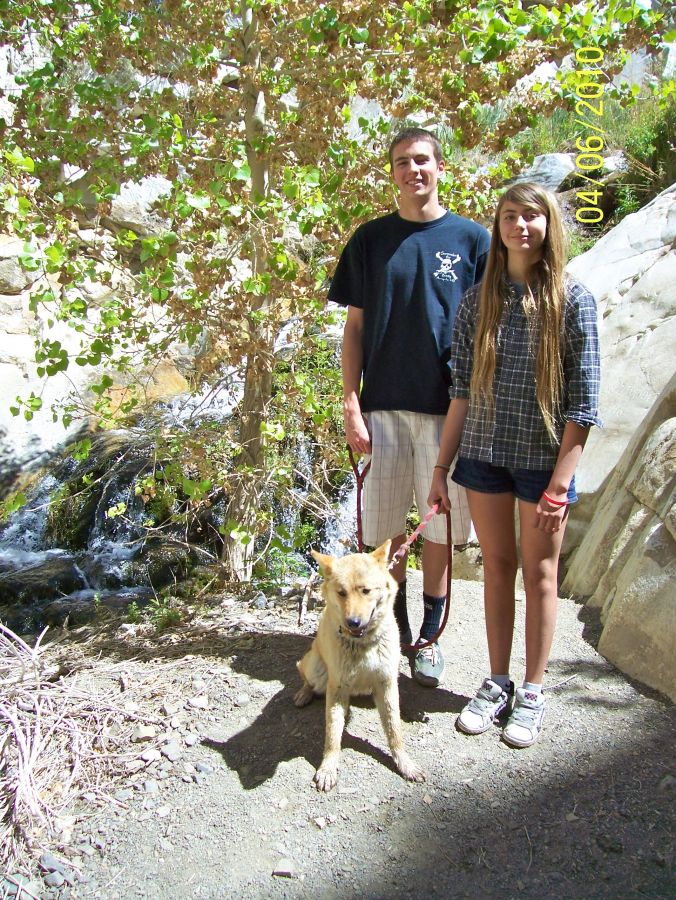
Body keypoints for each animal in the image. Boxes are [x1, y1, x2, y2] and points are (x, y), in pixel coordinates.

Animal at [294, 540, 426, 788]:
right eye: (341, 592)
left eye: (366, 590)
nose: (353, 622)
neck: (363, 645)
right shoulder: (337, 687)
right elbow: (332, 735)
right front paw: (328, 767)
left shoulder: (386, 682)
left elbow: (395, 731)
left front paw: (405, 763)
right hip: (316, 668)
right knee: (305, 676)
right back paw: (304, 693)